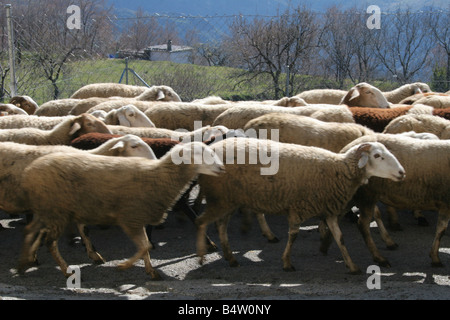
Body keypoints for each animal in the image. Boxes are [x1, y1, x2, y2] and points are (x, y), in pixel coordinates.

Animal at [17, 141, 225, 278]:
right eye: (203, 154)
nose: (223, 168)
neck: (158, 176)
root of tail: (29, 171)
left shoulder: (138, 219)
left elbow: (146, 246)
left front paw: (150, 270)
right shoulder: (130, 218)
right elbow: (144, 246)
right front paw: (124, 266)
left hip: (47, 210)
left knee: (32, 230)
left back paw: (26, 260)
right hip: (56, 211)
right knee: (50, 242)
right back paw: (64, 268)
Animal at [195, 136, 406, 274]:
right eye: (377, 156)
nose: (402, 172)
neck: (338, 170)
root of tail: (212, 147)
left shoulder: (328, 209)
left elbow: (340, 238)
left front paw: (352, 265)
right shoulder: (299, 207)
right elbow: (294, 235)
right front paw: (287, 263)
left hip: (229, 199)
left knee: (220, 226)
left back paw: (230, 258)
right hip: (221, 198)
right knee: (203, 221)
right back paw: (203, 255)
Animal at [332, 134, 450, 268]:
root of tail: (344, 150)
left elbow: (440, 230)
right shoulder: (446, 203)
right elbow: (440, 231)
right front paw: (435, 257)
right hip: (366, 195)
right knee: (362, 225)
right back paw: (379, 258)